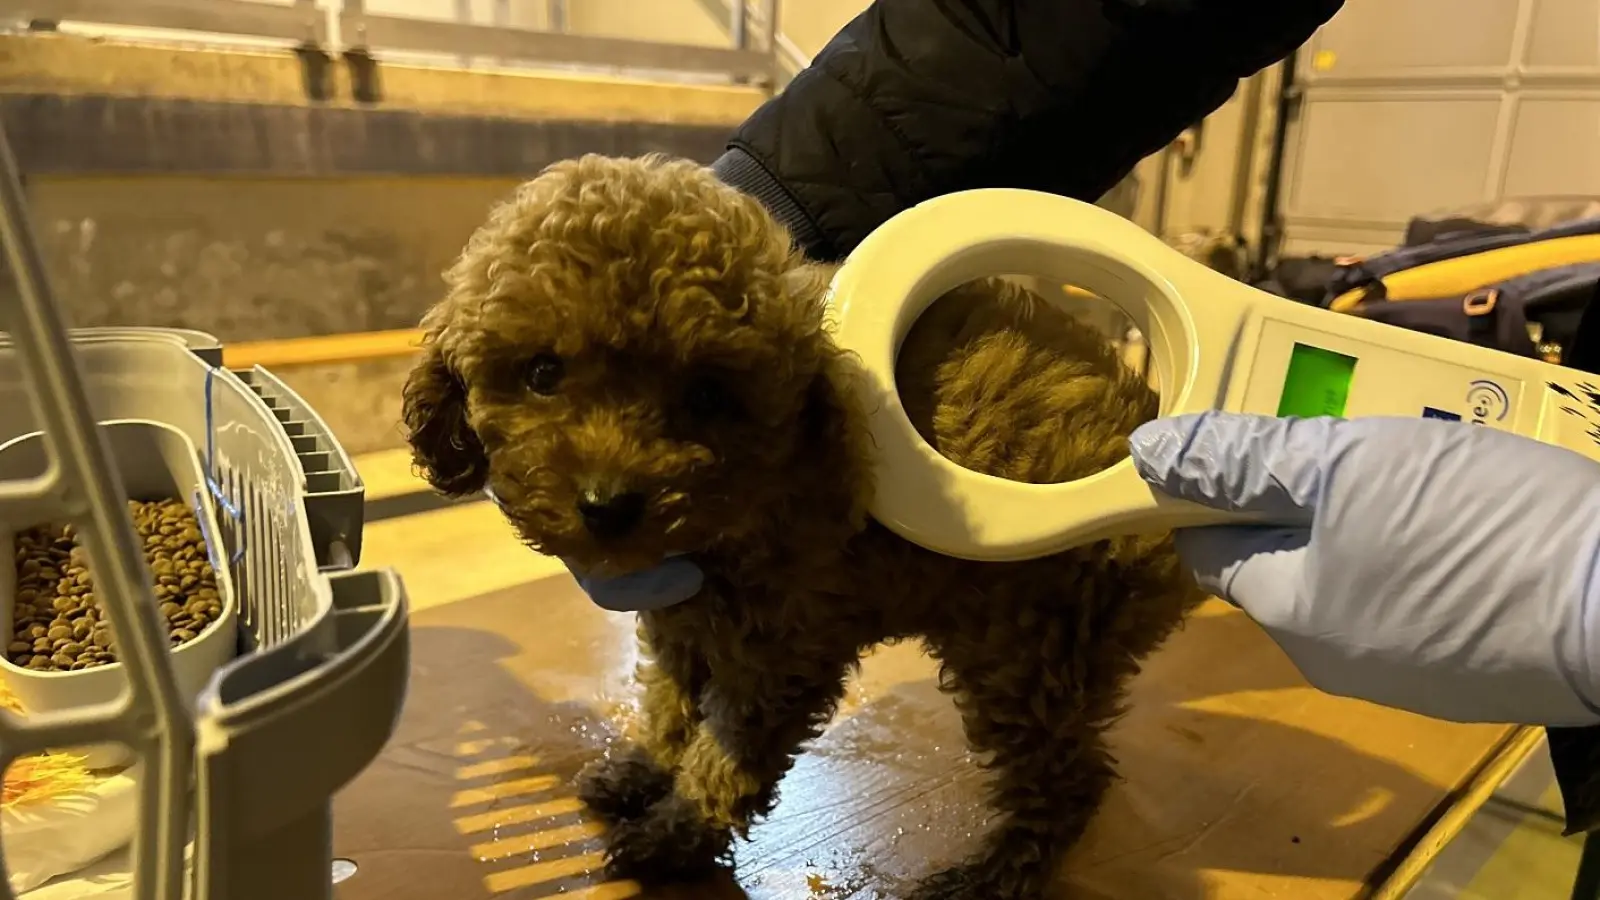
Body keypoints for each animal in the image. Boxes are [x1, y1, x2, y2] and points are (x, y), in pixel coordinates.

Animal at [400, 156, 1203, 896]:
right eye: (542, 373)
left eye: (706, 395)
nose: (607, 505)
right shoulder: (686, 615)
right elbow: (671, 697)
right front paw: (644, 767)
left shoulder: (781, 648)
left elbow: (728, 752)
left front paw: (675, 832)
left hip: (1029, 649)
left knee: (1067, 779)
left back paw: (991, 878)